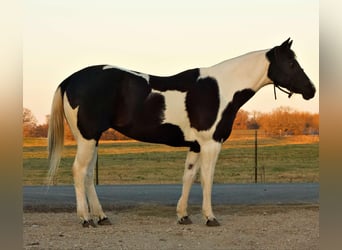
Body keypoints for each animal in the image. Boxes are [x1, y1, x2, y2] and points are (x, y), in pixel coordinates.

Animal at [47, 38, 316, 227]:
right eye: (291, 63)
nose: (311, 90)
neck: (221, 89)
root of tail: (71, 79)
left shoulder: (196, 145)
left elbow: (189, 176)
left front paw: (183, 216)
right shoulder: (211, 143)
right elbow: (206, 179)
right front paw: (210, 217)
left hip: (92, 139)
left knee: (87, 175)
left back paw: (101, 217)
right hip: (88, 138)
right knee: (78, 172)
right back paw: (85, 219)